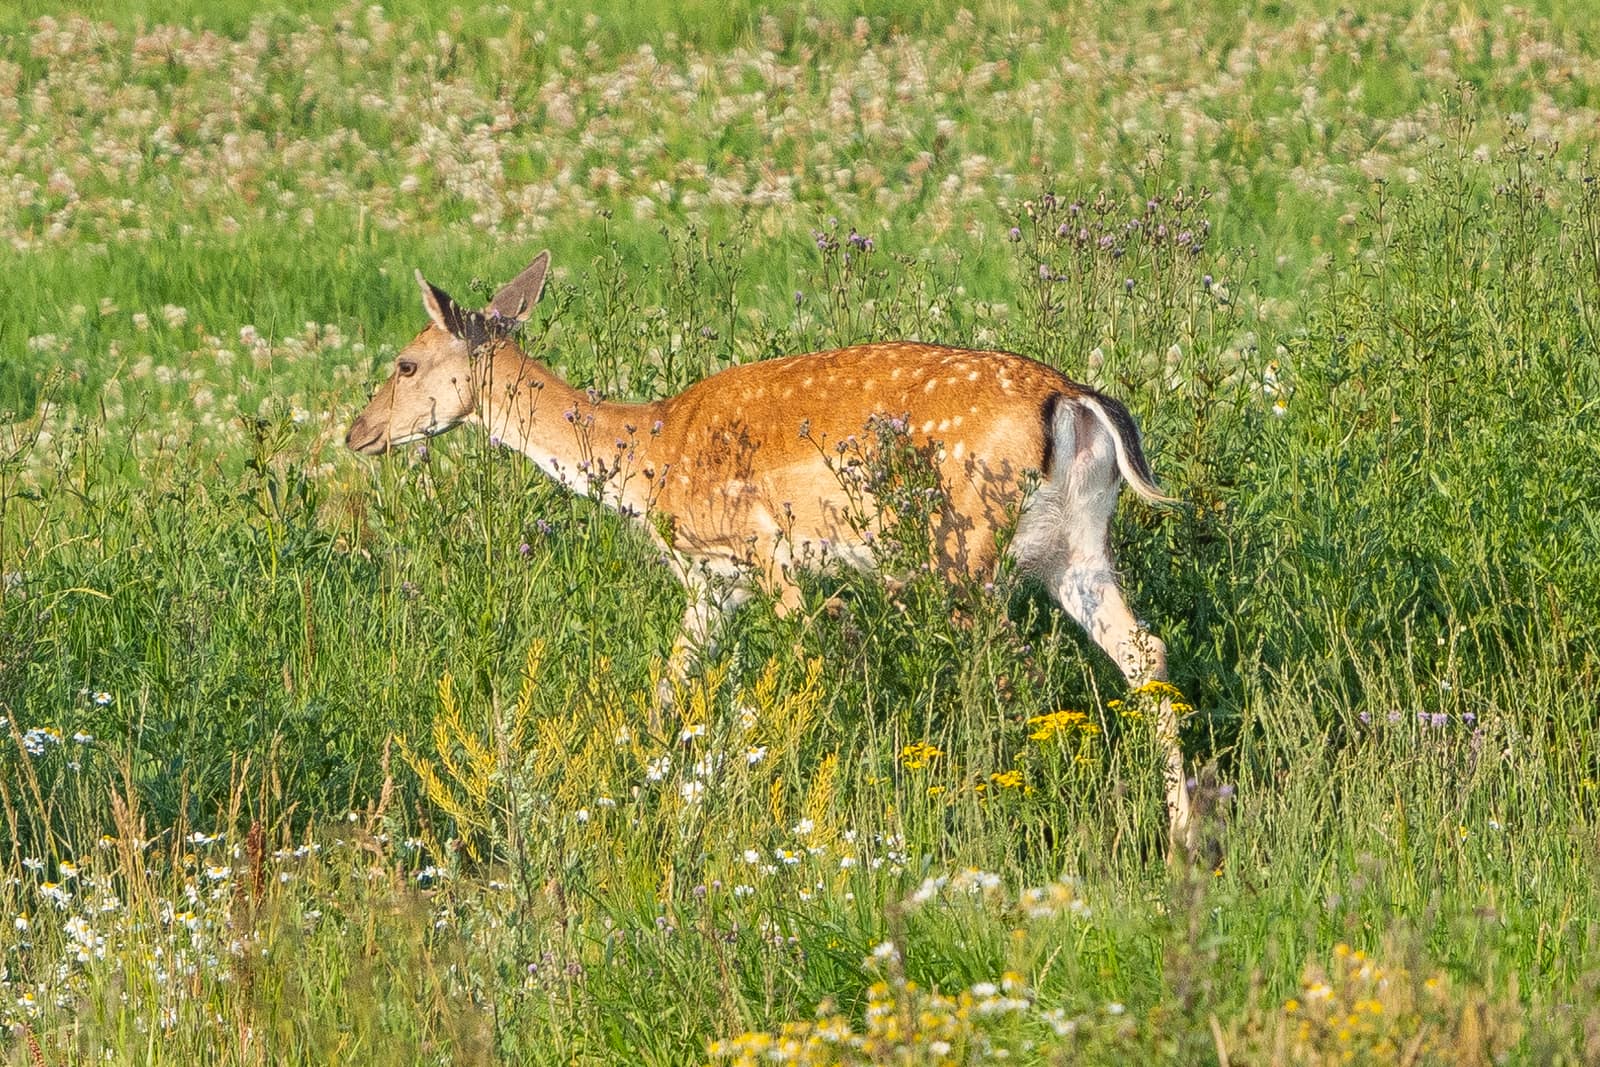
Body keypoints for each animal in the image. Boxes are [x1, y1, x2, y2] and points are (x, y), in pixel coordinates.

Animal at [345, 250, 1197, 851]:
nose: (356, 432)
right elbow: (666, 689)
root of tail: (1075, 402)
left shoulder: (769, 552)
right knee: (1144, 652)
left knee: (1019, 666)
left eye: (405, 362)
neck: (645, 460)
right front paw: (625, 784)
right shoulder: (709, 583)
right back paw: (1186, 834)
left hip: (964, 547)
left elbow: (812, 667)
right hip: (1073, 547)